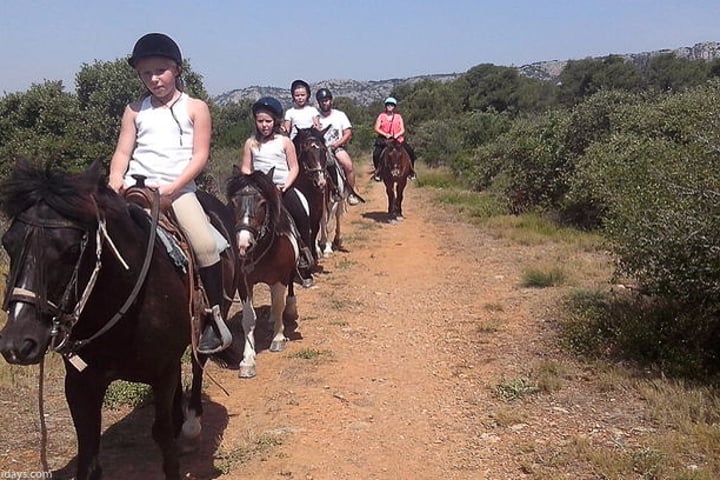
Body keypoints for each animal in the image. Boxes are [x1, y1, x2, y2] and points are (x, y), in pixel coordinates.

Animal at [0, 159, 236, 478]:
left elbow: (161, 434)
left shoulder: (162, 372)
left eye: (71, 249)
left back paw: (190, 425)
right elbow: (88, 454)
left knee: (198, 365)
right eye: (7, 243)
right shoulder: (80, 384)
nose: (18, 344)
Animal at [228, 168, 300, 378]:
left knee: (287, 294)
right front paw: (247, 361)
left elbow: (279, 305)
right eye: (234, 202)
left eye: (262, 203)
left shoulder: (280, 279)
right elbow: (249, 319)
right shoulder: (244, 283)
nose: (244, 244)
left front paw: (278, 338)